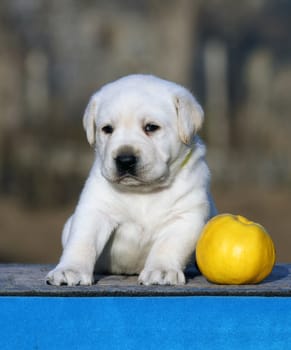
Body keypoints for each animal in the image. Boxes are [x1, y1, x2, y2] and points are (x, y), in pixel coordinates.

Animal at [46, 75, 217, 286]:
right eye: (107, 129)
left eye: (151, 127)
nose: (125, 159)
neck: (143, 191)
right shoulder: (95, 210)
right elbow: (82, 241)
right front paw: (70, 269)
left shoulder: (185, 216)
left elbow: (168, 245)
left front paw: (161, 270)